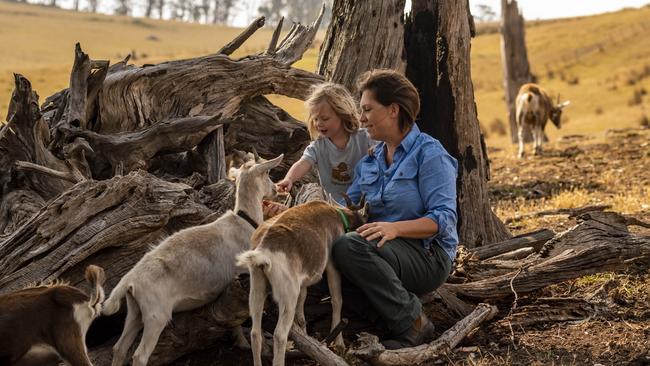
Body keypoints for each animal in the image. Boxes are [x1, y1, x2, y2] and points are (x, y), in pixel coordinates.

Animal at [102, 153, 282, 364]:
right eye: (267, 173)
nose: (276, 189)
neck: (244, 221)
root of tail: (130, 280)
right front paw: (243, 342)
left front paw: (240, 342)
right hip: (156, 314)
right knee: (139, 355)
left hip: (135, 311)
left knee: (119, 348)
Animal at [238, 194, 370, 366]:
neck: (338, 215)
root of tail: (263, 251)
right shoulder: (331, 265)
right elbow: (337, 299)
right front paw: (340, 344)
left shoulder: (302, 285)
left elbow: (301, 312)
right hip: (288, 296)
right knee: (279, 335)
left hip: (257, 289)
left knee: (255, 333)